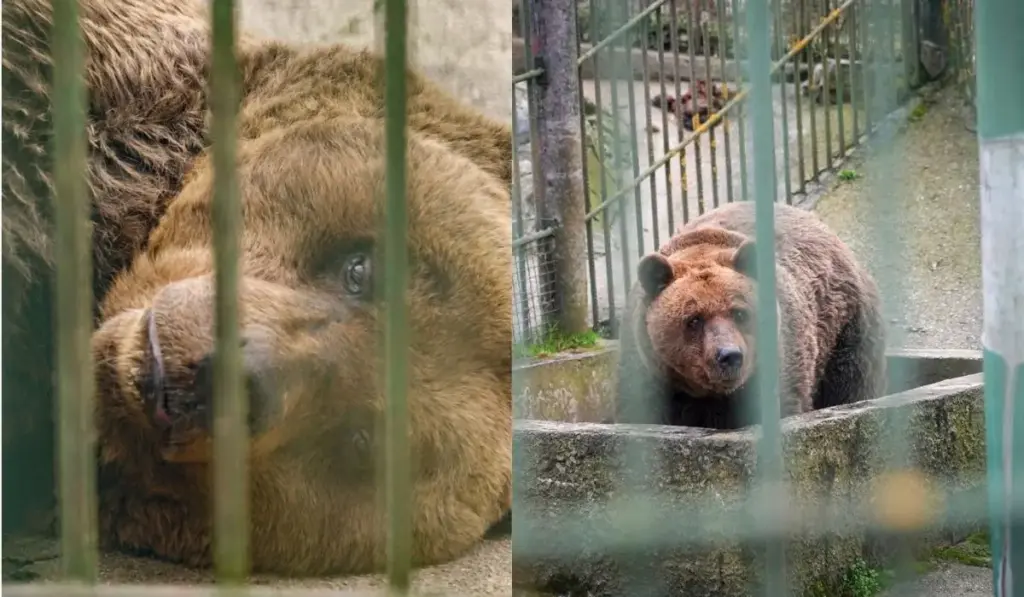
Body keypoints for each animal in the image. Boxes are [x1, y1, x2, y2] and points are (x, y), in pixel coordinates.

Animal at [615, 201, 887, 430]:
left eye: (740, 312)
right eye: (693, 319)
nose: (729, 356)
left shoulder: (778, 359)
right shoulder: (650, 372)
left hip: (845, 328)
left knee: (850, 383)